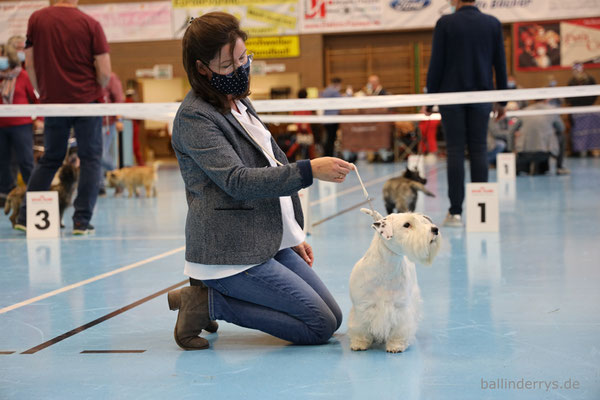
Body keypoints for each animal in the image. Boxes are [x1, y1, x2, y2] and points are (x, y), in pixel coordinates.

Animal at [346, 208, 440, 352]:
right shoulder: (362, 307)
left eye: (424, 221)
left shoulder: (400, 308)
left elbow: (399, 330)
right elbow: (360, 328)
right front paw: (359, 343)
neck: (385, 270)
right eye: (407, 224)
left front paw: (396, 345)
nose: (435, 229)